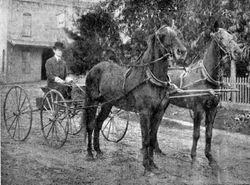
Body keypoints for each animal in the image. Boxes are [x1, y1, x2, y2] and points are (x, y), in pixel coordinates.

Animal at [82, 24, 188, 175]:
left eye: (178, 34)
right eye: (163, 36)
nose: (181, 51)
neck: (150, 80)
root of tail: (93, 68)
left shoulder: (158, 113)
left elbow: (152, 139)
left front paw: (153, 164)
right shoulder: (144, 113)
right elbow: (145, 140)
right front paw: (146, 166)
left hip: (107, 104)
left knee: (98, 123)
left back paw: (98, 150)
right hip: (92, 101)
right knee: (90, 125)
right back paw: (90, 153)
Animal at [153, 26, 241, 166]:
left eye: (232, 36)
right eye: (220, 38)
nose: (238, 52)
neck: (206, 78)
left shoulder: (212, 109)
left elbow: (209, 134)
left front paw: (210, 157)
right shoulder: (198, 109)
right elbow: (196, 134)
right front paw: (193, 157)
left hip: (164, 104)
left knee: (156, 124)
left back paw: (157, 149)